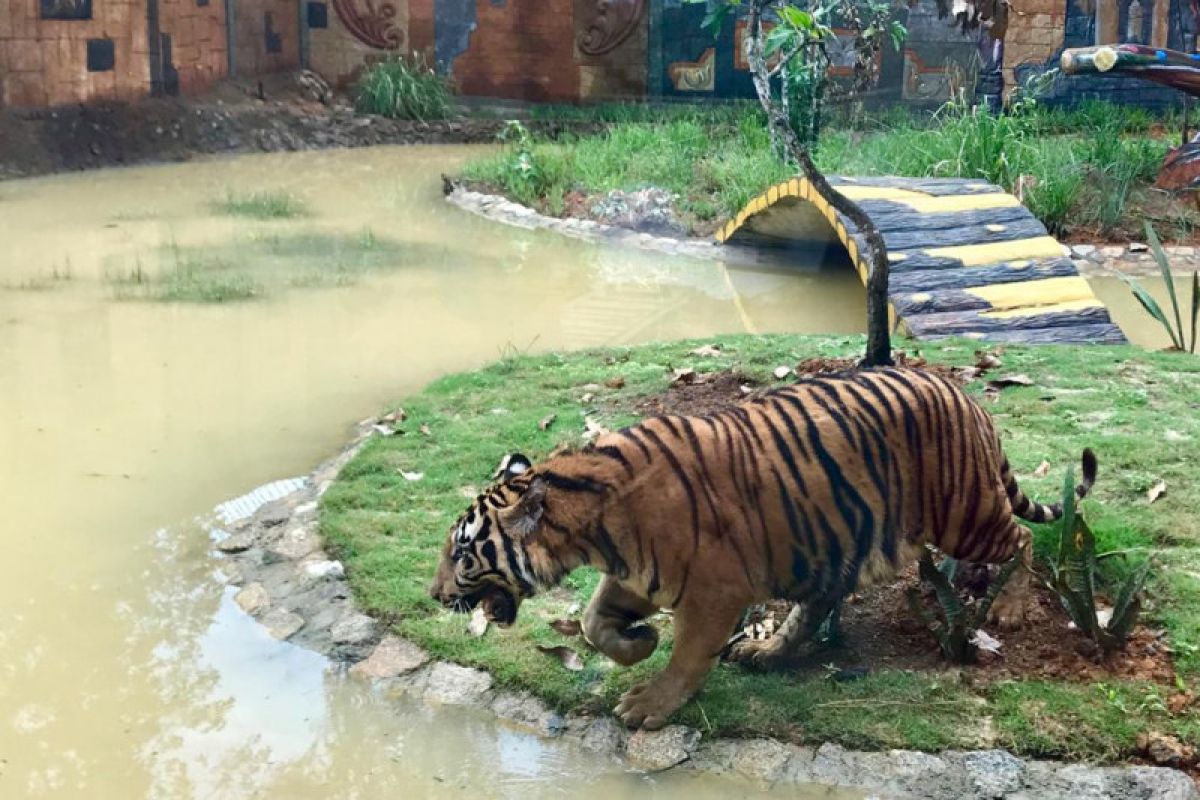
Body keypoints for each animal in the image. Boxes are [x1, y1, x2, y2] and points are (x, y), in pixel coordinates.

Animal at [427, 369, 1094, 734]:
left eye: (462, 554)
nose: (433, 595)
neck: (590, 530)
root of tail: (964, 394)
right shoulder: (638, 574)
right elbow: (594, 622)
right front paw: (637, 643)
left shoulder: (713, 589)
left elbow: (688, 654)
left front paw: (649, 703)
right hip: (830, 540)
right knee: (820, 600)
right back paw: (768, 652)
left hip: (966, 515)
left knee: (1023, 538)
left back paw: (1009, 607)